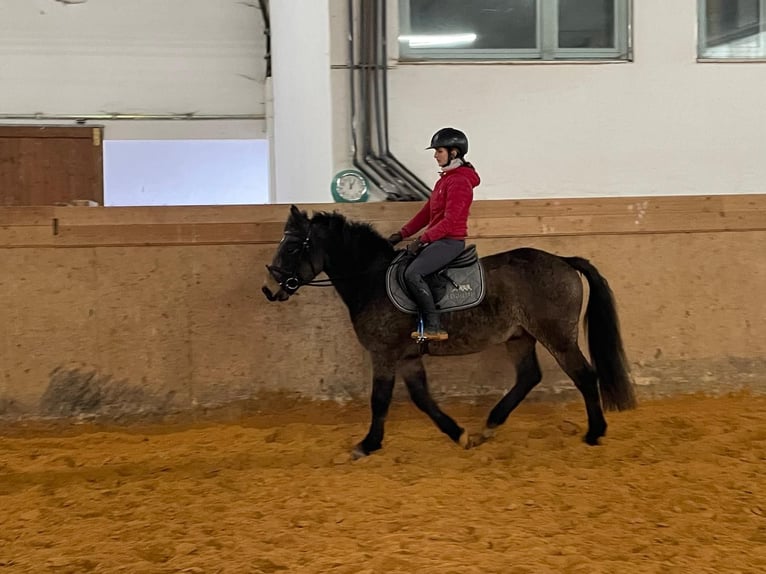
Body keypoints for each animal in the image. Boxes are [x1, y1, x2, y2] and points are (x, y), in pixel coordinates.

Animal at [262, 205, 636, 462]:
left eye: (292, 248)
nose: (269, 289)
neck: (372, 280)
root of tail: (563, 260)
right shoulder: (408, 356)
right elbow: (422, 398)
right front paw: (459, 435)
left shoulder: (384, 354)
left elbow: (379, 400)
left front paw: (366, 445)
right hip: (519, 337)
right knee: (529, 376)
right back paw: (490, 426)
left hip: (557, 336)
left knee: (584, 376)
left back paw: (594, 433)